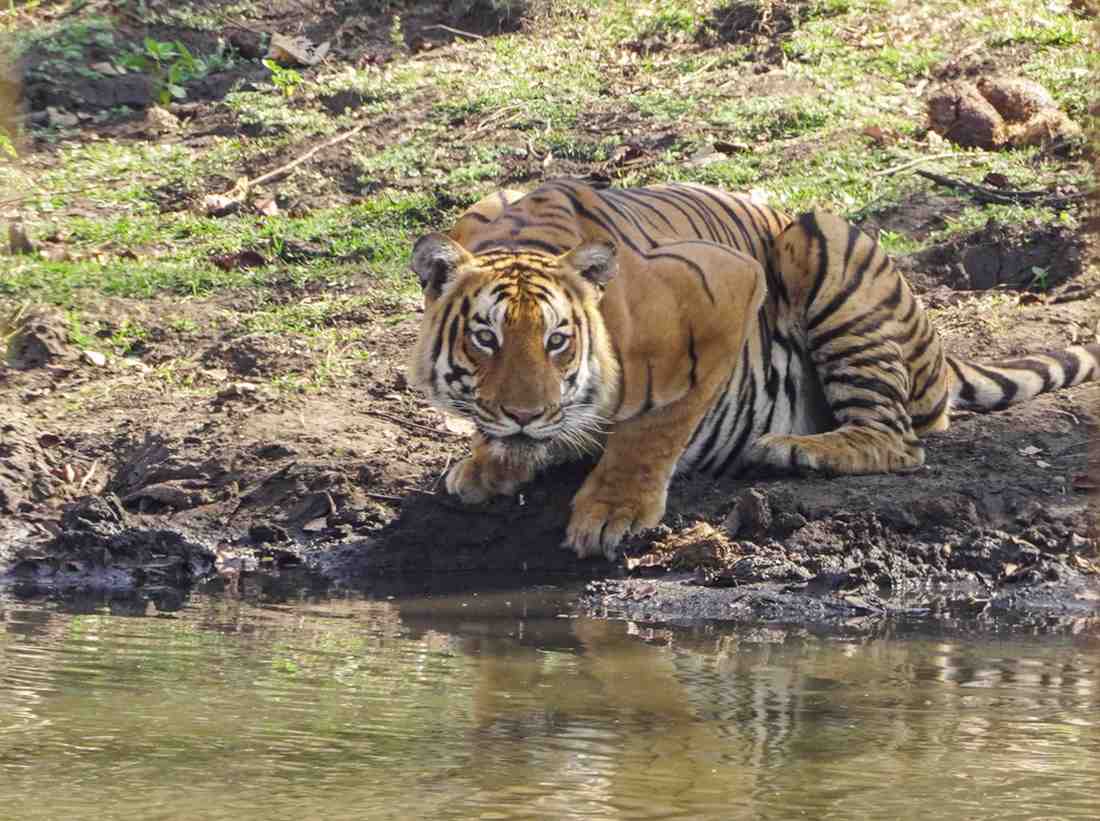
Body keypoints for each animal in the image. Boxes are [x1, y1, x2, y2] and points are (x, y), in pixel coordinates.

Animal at [407, 177, 1100, 563]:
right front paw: (488, 462)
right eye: (486, 338)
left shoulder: (726, 289)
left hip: (821, 243)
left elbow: (654, 427)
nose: (524, 415)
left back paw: (795, 449)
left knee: (899, 440)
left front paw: (612, 511)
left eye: (557, 341)